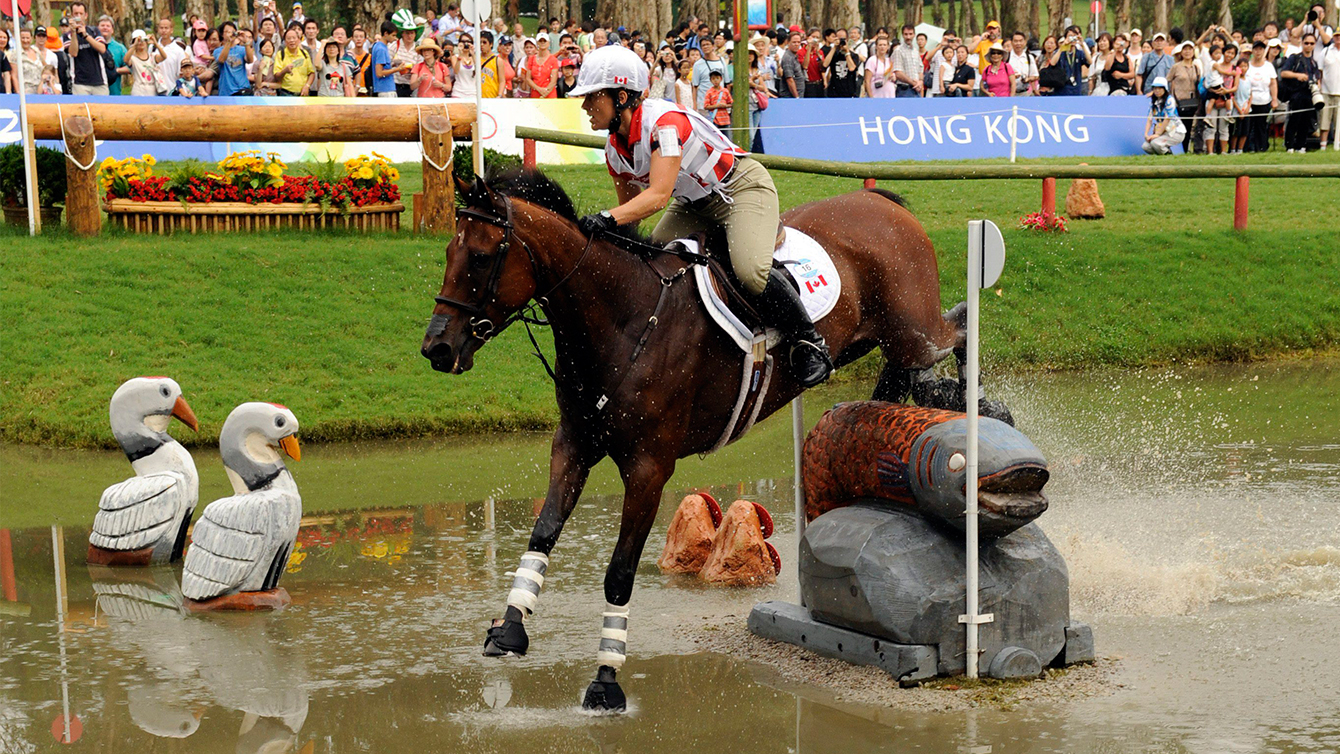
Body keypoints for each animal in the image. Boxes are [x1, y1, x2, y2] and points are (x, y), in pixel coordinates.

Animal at [423, 171, 1002, 712]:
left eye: (479, 258)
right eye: (448, 252)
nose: (437, 348)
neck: (623, 318)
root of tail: (878, 200)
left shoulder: (649, 469)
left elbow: (619, 573)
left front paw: (606, 681)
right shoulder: (573, 446)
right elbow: (541, 535)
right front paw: (510, 629)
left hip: (913, 330)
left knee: (958, 328)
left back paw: (977, 399)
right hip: (876, 338)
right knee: (902, 369)